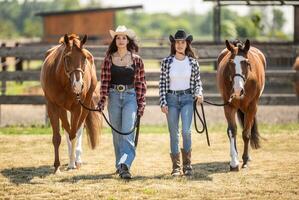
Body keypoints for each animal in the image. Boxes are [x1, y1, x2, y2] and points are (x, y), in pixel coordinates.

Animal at [41, 34, 102, 173]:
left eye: (84, 58)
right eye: (67, 57)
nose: (78, 85)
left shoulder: (77, 108)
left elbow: (74, 134)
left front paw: (73, 163)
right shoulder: (52, 106)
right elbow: (58, 137)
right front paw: (57, 166)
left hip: (85, 105)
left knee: (79, 129)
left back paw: (76, 159)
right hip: (62, 109)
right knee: (66, 128)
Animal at [218, 39, 268, 171]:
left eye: (246, 62)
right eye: (230, 63)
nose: (237, 90)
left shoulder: (252, 107)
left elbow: (246, 133)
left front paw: (245, 160)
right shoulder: (228, 106)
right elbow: (232, 131)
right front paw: (234, 162)